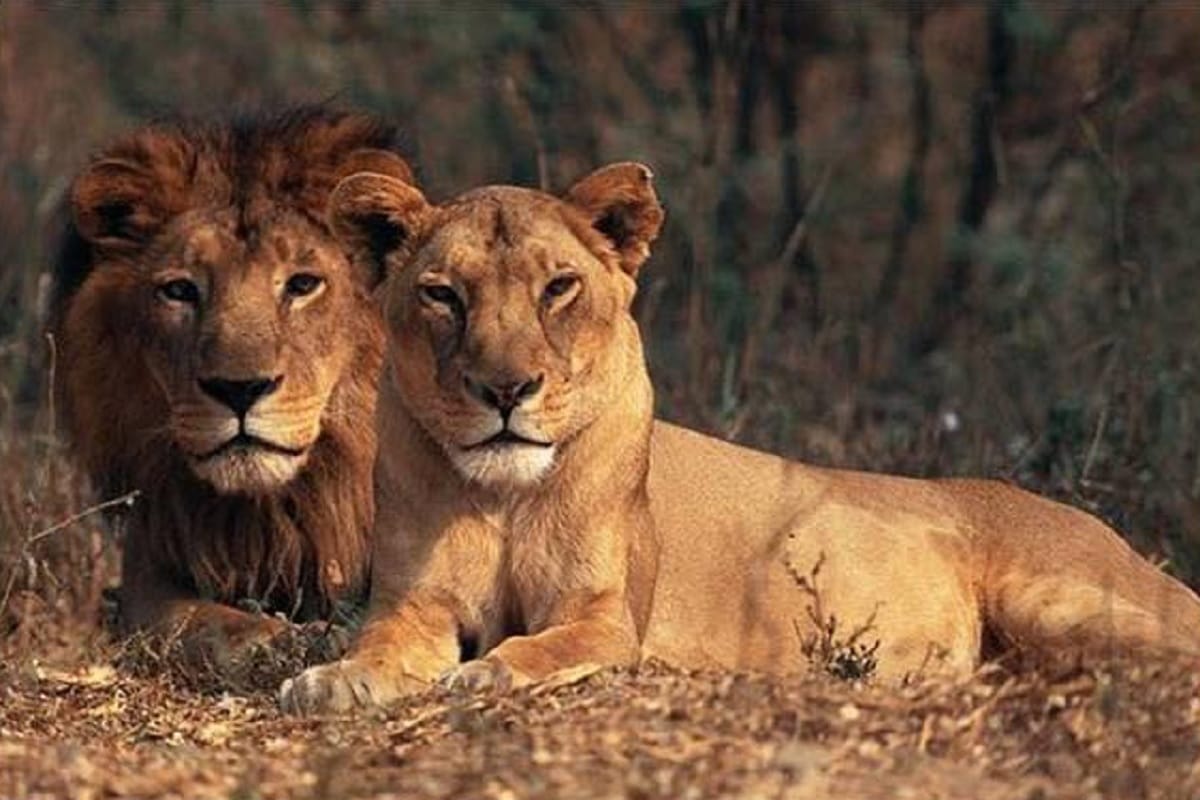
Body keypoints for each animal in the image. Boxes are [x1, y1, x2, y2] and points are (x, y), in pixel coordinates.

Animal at [51, 107, 414, 661]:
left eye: (302, 284)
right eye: (180, 290)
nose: (239, 390)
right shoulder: (149, 577)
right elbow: (205, 623)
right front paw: (286, 640)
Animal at [280, 163, 1200, 713]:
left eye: (558, 288)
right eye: (443, 295)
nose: (506, 391)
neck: (504, 494)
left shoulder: (607, 616)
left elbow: (544, 646)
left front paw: (489, 668)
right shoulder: (414, 603)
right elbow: (379, 643)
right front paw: (335, 679)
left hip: (1057, 598)